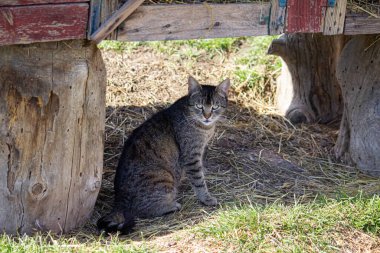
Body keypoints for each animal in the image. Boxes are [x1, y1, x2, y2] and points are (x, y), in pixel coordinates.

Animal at [96, 76, 230, 233]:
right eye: (199, 106)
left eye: (215, 107)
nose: (207, 116)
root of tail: (118, 201)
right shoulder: (191, 156)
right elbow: (199, 180)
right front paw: (206, 198)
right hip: (164, 178)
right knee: (143, 211)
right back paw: (172, 206)